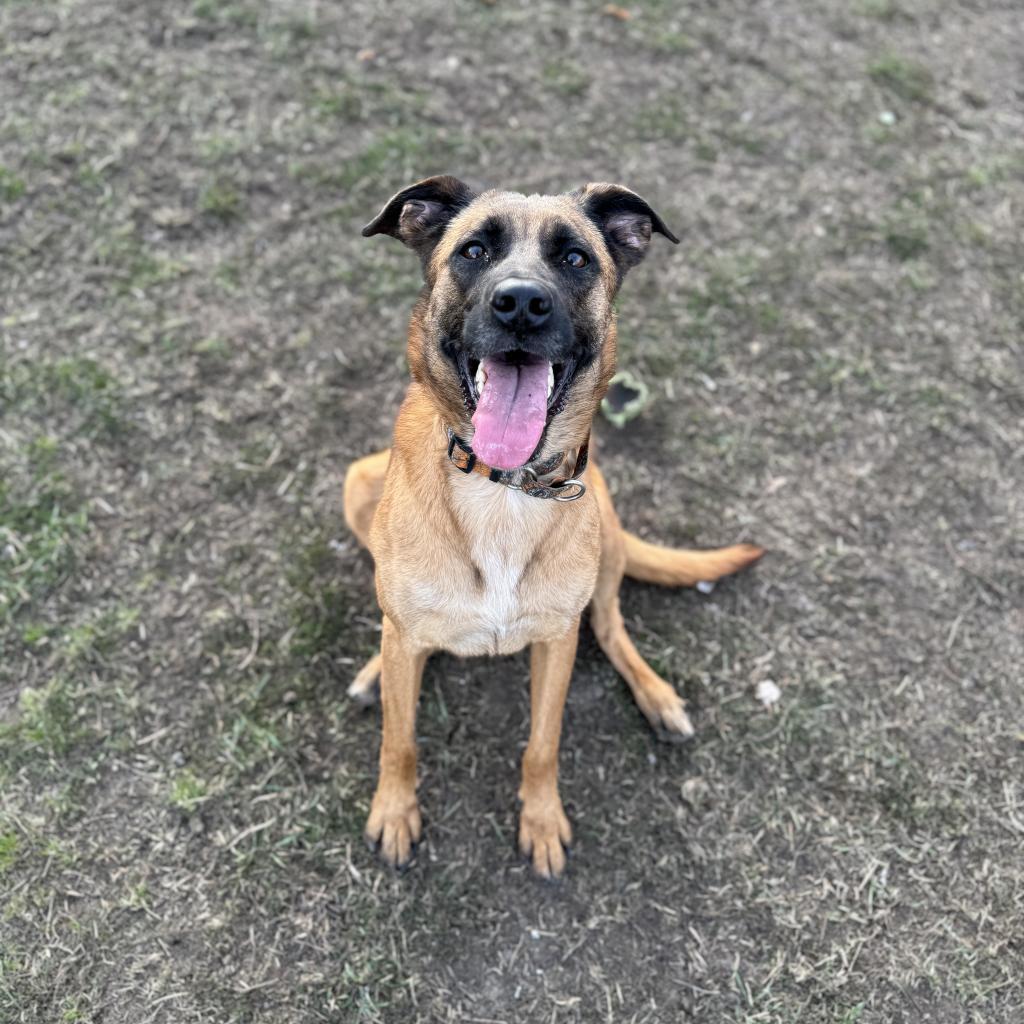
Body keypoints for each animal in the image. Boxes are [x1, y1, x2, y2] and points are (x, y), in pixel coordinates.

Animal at [344, 172, 761, 876]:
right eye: (473, 251)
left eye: (575, 259)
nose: (520, 304)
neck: (504, 490)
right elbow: (399, 739)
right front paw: (395, 812)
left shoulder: (556, 642)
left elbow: (543, 742)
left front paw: (540, 821)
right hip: (358, 485)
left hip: (608, 529)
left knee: (612, 625)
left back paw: (657, 697)